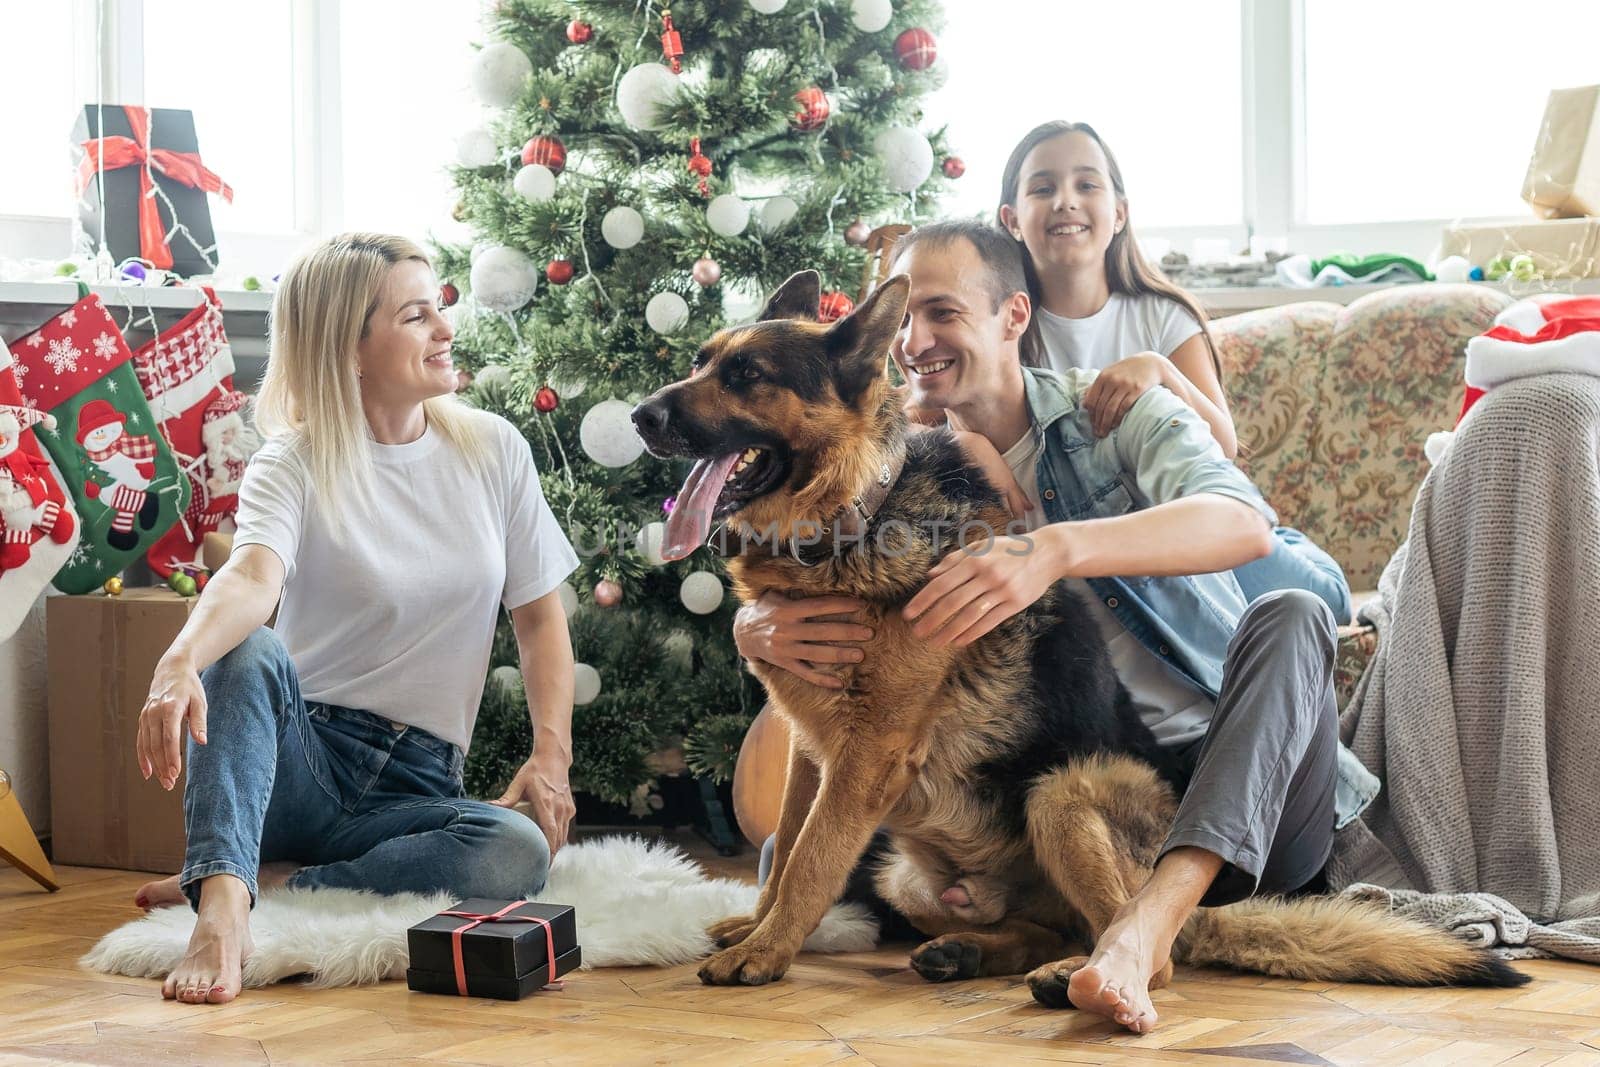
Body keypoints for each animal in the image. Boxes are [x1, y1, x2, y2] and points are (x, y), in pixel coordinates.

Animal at [624, 273, 1523, 1004]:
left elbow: (811, 859)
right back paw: (972, 950)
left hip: (1058, 792)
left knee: (1144, 942)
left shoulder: (868, 754)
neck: (858, 515)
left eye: (747, 376)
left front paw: (768, 951)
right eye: (701, 361)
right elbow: (787, 856)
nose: (635, 414)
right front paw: (760, 927)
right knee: (1051, 925)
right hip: (905, 868)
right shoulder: (813, 754)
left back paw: (1085, 974)